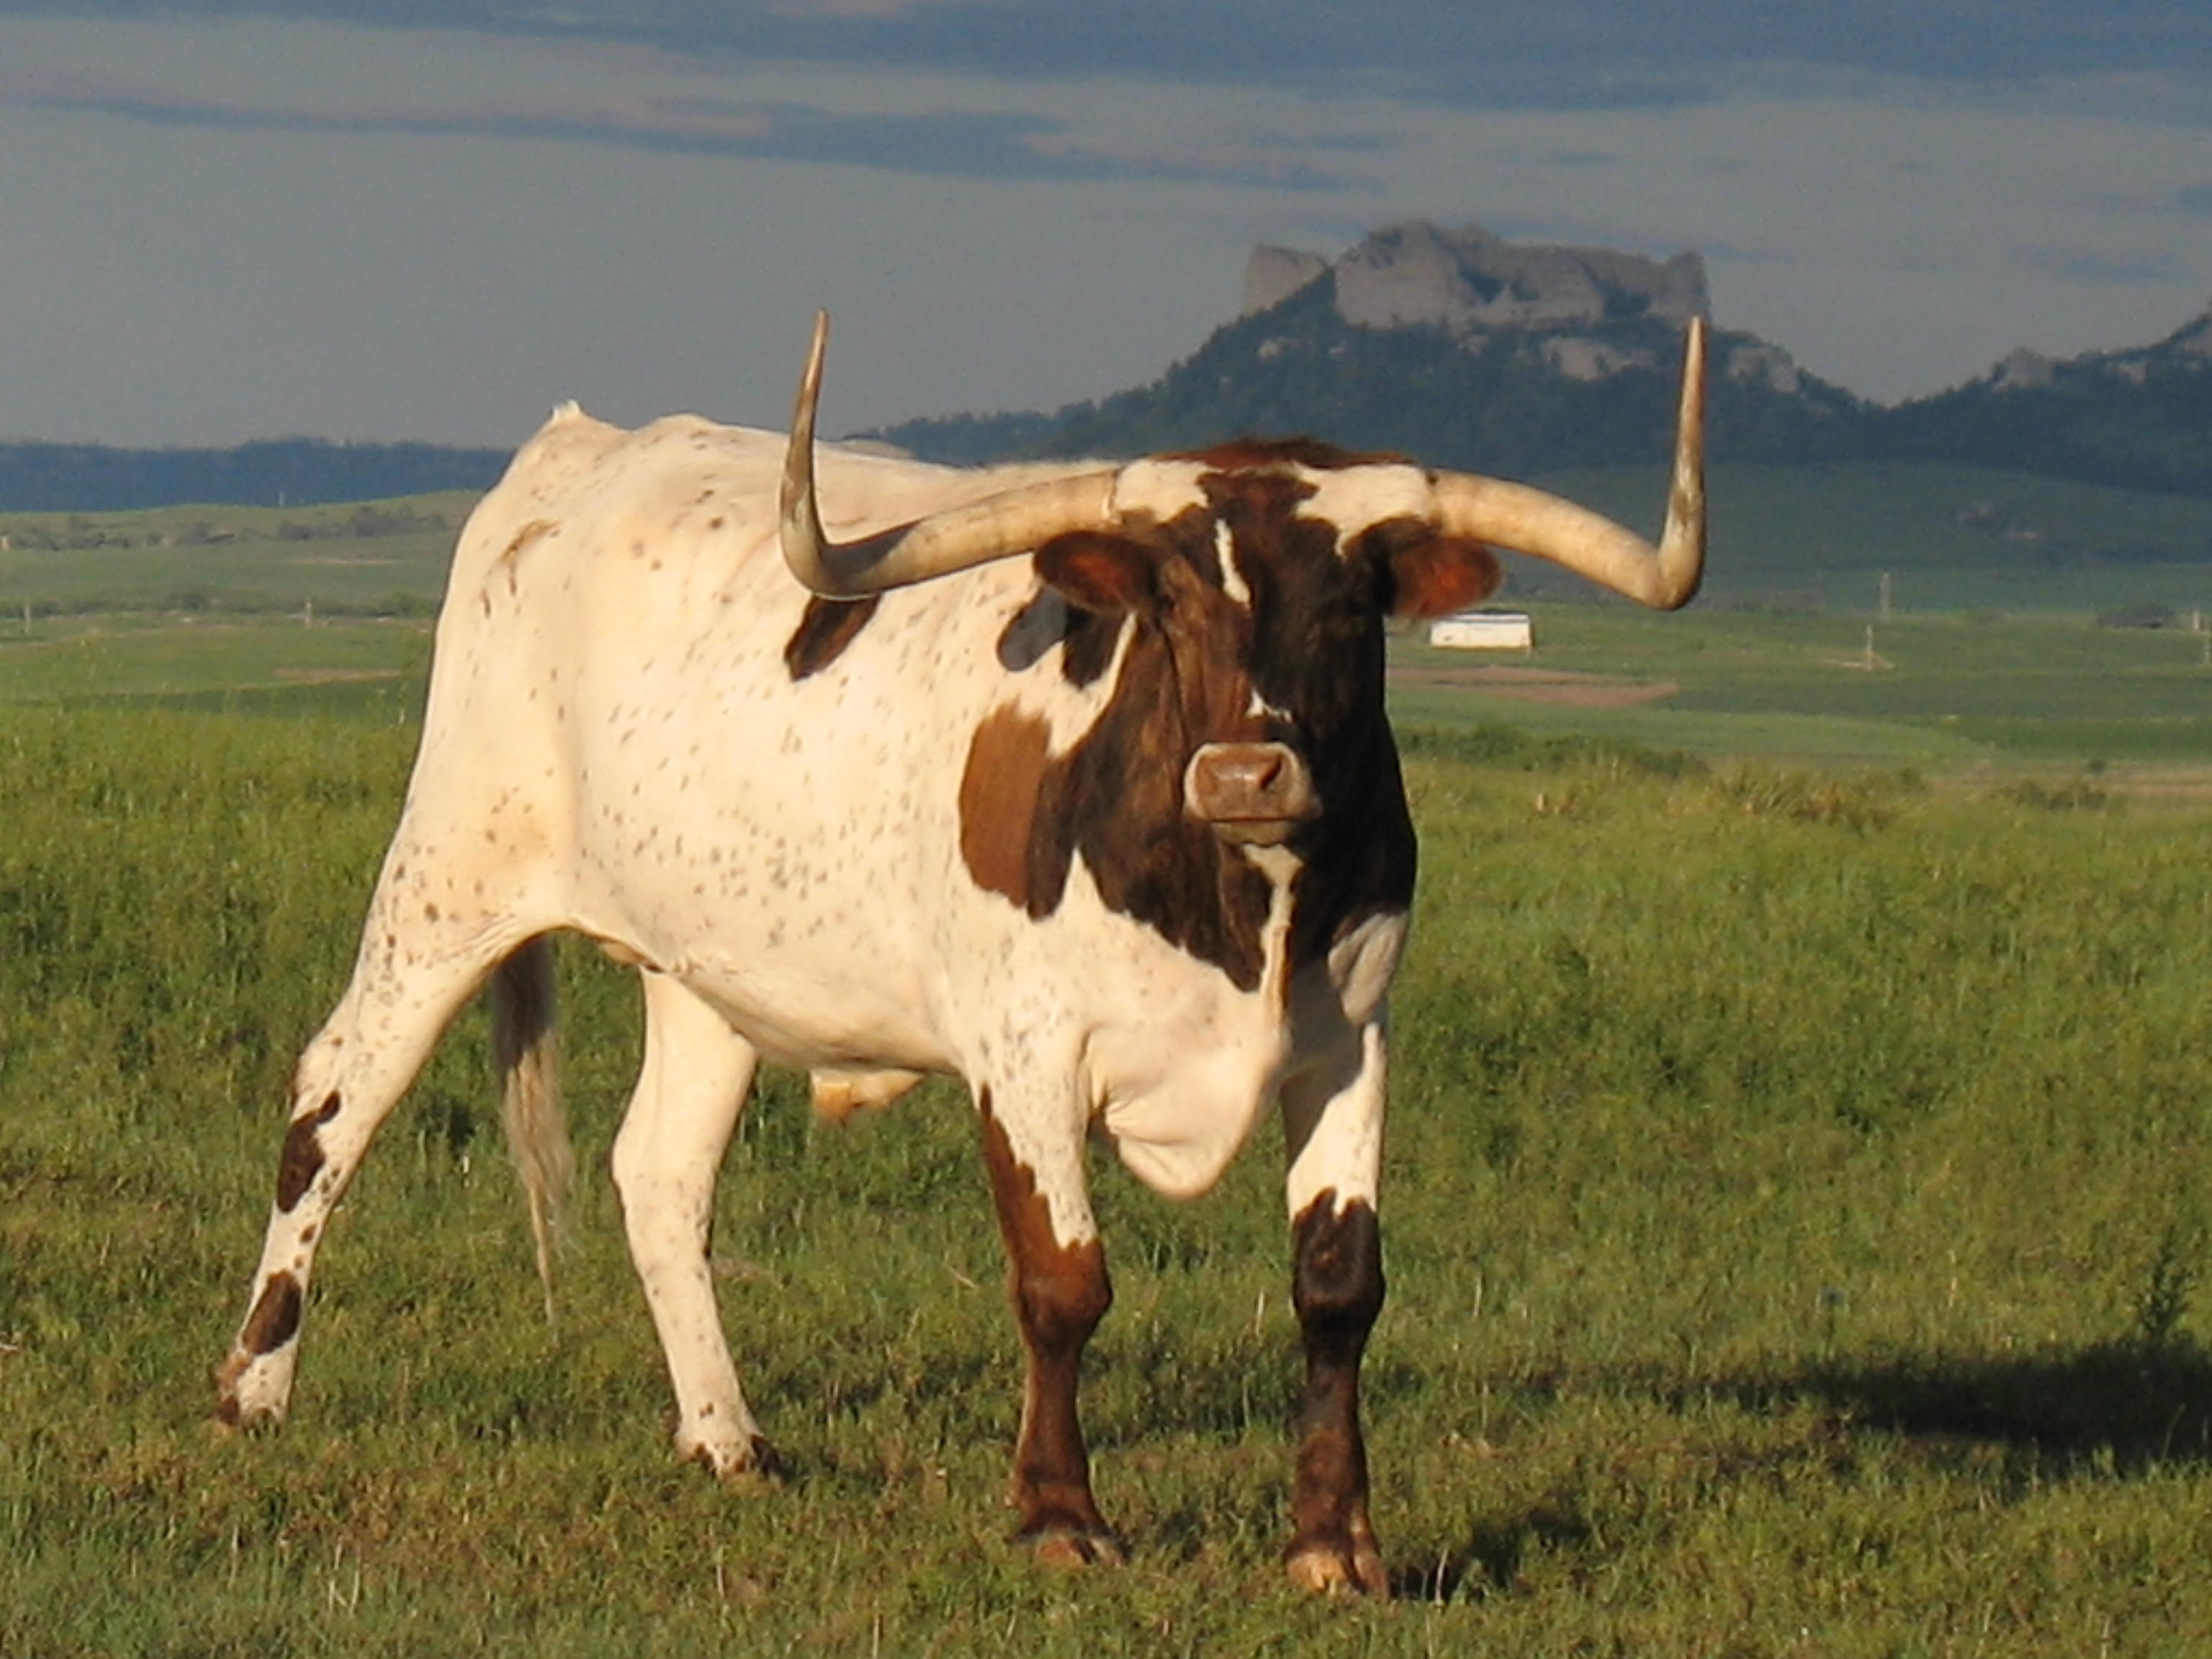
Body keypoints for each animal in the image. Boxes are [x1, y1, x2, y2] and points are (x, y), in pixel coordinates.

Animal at [217, 312, 1706, 1593]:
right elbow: (1063, 1280)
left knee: (660, 1173)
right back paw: (251, 1390)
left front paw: (1335, 1543)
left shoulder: (1349, 1041)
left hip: (709, 969)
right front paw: (1059, 1515)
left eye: (1348, 610)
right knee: (335, 1099)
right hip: (449, 878)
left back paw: (725, 1436)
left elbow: (1338, 1285)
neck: (1236, 911)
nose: (1242, 771)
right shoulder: (1026, 1048)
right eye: (1167, 604)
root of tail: (579, 447)